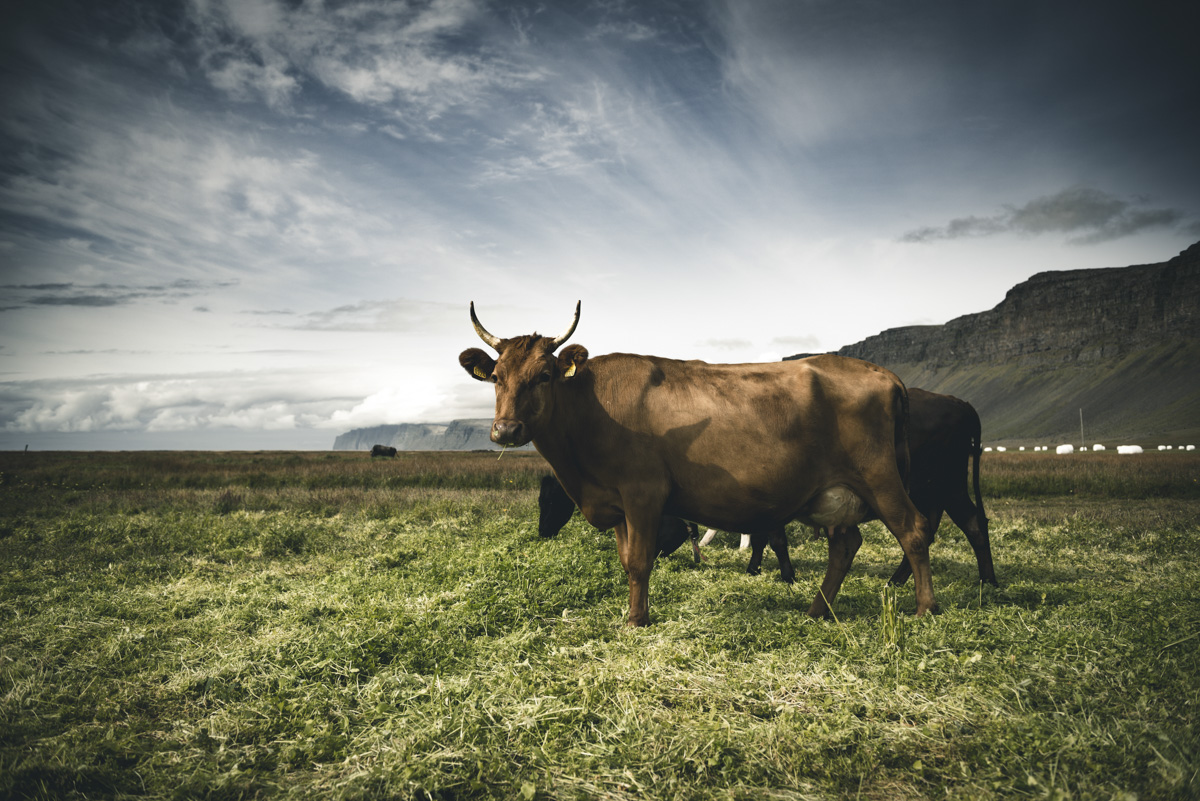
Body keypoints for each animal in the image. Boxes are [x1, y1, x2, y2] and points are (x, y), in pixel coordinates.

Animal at [745, 388, 997, 587]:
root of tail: (958, 402)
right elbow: (758, 537)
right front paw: (754, 569)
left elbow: (775, 540)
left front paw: (787, 575)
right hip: (933, 492)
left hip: (949, 486)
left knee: (971, 523)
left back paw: (987, 581)